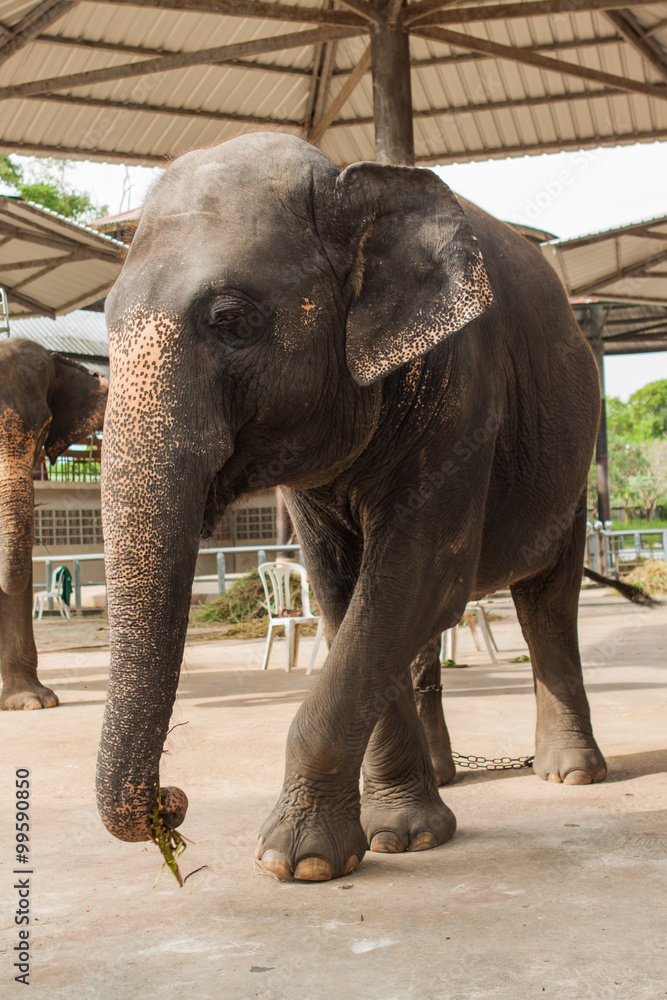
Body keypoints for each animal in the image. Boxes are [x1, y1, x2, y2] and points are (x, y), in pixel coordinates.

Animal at [98, 131, 606, 882]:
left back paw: (570, 775)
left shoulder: (465, 393)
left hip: (572, 462)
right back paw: (446, 780)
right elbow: (346, 594)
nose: (173, 802)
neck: (347, 180)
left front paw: (298, 861)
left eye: (231, 321)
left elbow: (418, 577)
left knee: (547, 600)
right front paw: (402, 836)